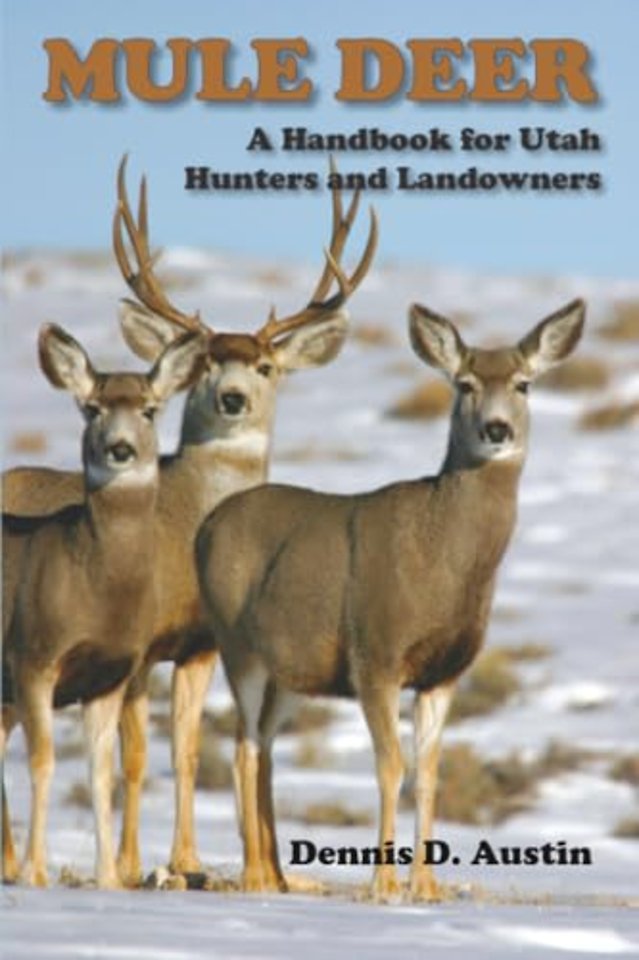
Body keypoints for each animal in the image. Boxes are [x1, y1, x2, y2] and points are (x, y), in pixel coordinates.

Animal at [2, 324, 206, 888]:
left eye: (150, 409)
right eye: (91, 408)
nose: (119, 448)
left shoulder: (110, 673)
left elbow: (101, 772)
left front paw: (110, 878)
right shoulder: (33, 656)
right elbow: (44, 761)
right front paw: (36, 873)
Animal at [195, 297, 586, 900]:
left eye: (523, 384)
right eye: (465, 383)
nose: (496, 429)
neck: (442, 560)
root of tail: (207, 525)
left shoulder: (444, 672)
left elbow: (428, 774)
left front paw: (426, 886)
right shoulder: (374, 653)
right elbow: (390, 766)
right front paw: (383, 883)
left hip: (292, 674)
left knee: (261, 746)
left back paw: (276, 876)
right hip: (238, 646)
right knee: (244, 748)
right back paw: (257, 877)